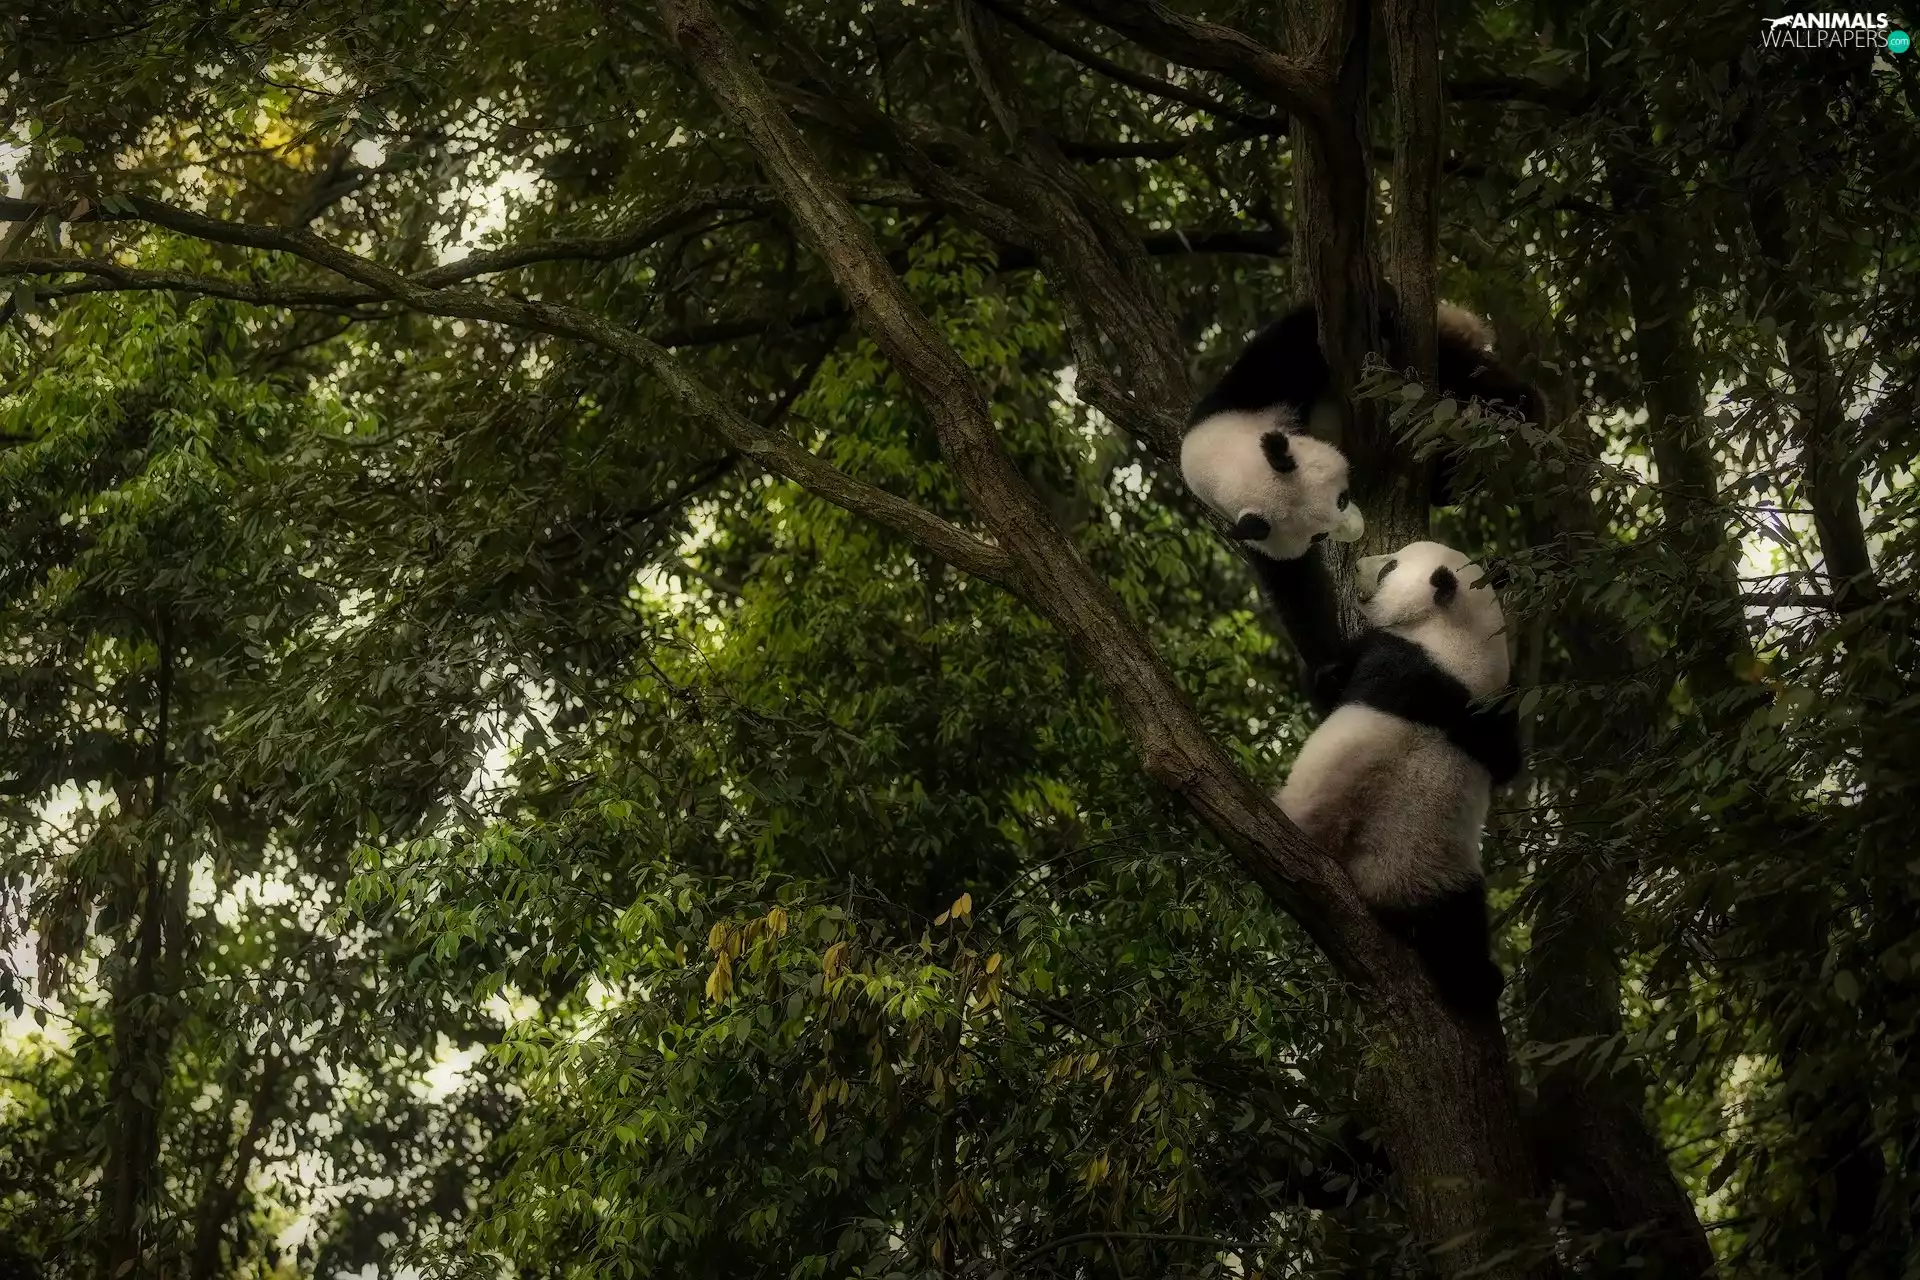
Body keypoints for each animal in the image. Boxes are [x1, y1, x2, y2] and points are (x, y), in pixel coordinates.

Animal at [1274, 540, 1521, 1020]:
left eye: (1389, 566)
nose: (1356, 565)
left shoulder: (1391, 655)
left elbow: (1332, 690)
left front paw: (1326, 674)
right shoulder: (1491, 713)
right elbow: (1508, 761)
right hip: (1440, 871)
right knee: (1458, 925)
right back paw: (1477, 983)